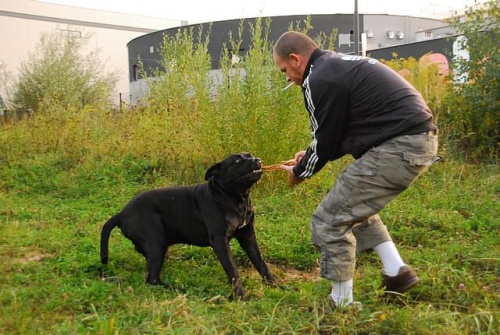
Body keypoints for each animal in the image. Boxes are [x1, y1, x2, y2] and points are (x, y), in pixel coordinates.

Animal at [99, 153, 276, 300]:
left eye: (250, 155)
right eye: (237, 161)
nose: (257, 160)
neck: (236, 199)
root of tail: (121, 214)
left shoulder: (248, 236)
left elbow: (261, 262)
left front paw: (275, 285)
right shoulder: (220, 240)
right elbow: (232, 269)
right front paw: (240, 296)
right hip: (156, 241)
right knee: (152, 279)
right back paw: (178, 289)